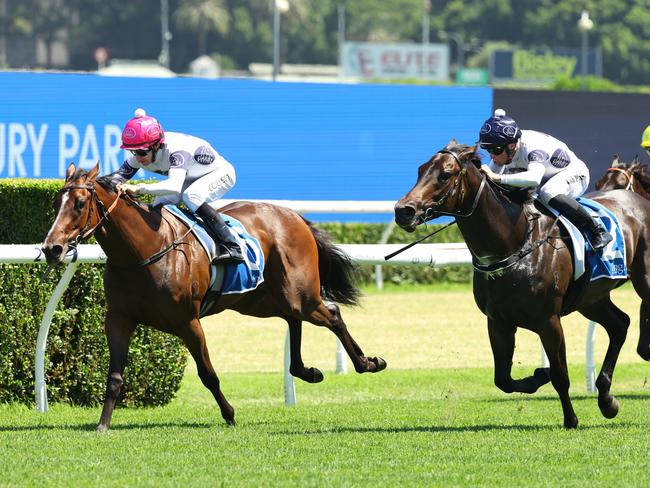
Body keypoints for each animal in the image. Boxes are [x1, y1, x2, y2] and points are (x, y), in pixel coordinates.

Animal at [43, 164, 384, 430]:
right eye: (57, 201)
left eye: (80, 202)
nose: (52, 248)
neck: (142, 252)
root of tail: (294, 215)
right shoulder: (118, 319)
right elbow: (114, 376)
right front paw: (103, 424)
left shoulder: (188, 322)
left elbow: (208, 374)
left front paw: (230, 414)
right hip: (259, 300)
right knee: (292, 318)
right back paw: (307, 371)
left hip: (300, 295)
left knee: (331, 314)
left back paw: (368, 362)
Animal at [392, 141, 648, 428]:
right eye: (420, 169)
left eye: (445, 175)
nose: (403, 211)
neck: (515, 243)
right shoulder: (498, 321)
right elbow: (503, 379)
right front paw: (538, 376)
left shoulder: (548, 320)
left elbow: (560, 375)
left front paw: (570, 419)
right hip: (591, 298)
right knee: (619, 324)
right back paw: (606, 398)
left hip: (642, 281)